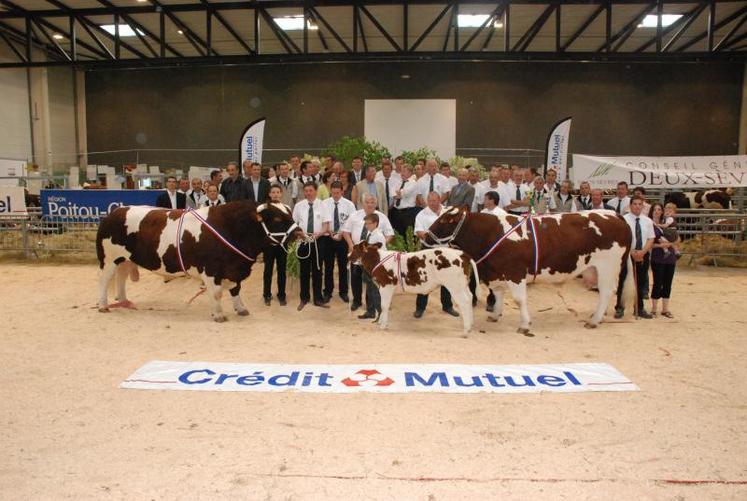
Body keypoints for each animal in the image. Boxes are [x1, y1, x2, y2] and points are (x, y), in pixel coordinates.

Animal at [96, 200, 300, 320]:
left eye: (290, 214)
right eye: (276, 218)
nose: (299, 233)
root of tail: (115, 212)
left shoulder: (234, 270)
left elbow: (236, 290)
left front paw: (241, 309)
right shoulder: (211, 269)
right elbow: (216, 293)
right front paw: (218, 314)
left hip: (125, 259)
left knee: (121, 277)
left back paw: (123, 301)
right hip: (109, 259)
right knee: (105, 280)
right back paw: (103, 305)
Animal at [348, 241, 476, 336]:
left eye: (354, 248)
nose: (348, 256)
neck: (378, 260)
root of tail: (461, 253)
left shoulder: (386, 286)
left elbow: (384, 305)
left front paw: (383, 325)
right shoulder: (382, 287)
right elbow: (382, 305)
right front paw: (380, 322)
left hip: (454, 286)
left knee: (464, 302)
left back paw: (465, 331)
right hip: (462, 284)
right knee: (470, 297)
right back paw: (470, 326)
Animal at [424, 205, 636, 334]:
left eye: (444, 221)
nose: (424, 236)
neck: (491, 233)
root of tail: (616, 215)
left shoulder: (515, 273)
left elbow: (519, 300)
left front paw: (525, 325)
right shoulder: (496, 273)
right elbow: (498, 293)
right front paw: (495, 315)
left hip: (608, 266)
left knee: (607, 292)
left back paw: (594, 320)